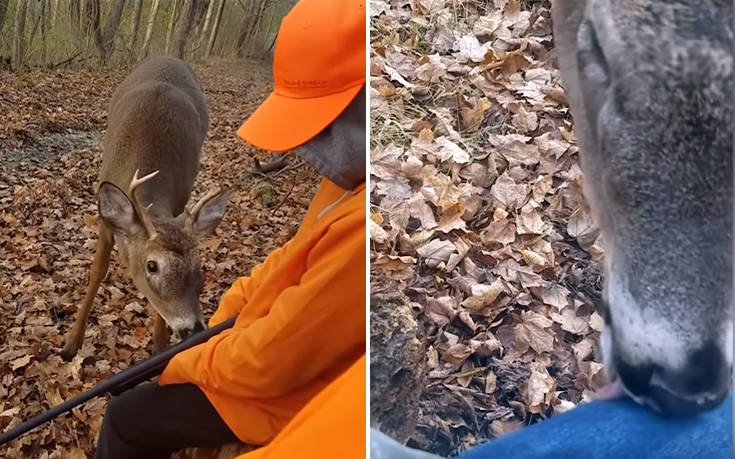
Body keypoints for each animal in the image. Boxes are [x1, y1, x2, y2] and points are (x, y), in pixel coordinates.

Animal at [61, 56, 229, 360]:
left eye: (199, 265)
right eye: (152, 265)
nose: (192, 329)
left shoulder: (180, 202)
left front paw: (160, 345)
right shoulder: (107, 220)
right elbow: (97, 271)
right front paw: (71, 343)